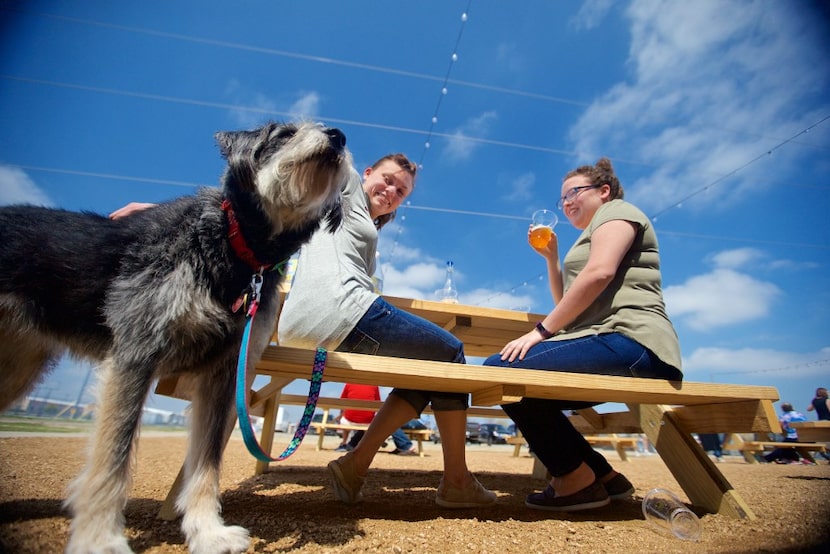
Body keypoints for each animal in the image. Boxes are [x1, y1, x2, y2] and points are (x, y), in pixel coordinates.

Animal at [0, 122, 354, 552]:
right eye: (284, 133)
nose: (338, 135)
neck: (237, 249)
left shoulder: (223, 375)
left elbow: (206, 463)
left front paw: (208, 531)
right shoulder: (136, 352)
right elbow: (113, 457)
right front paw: (100, 539)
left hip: (16, 367)